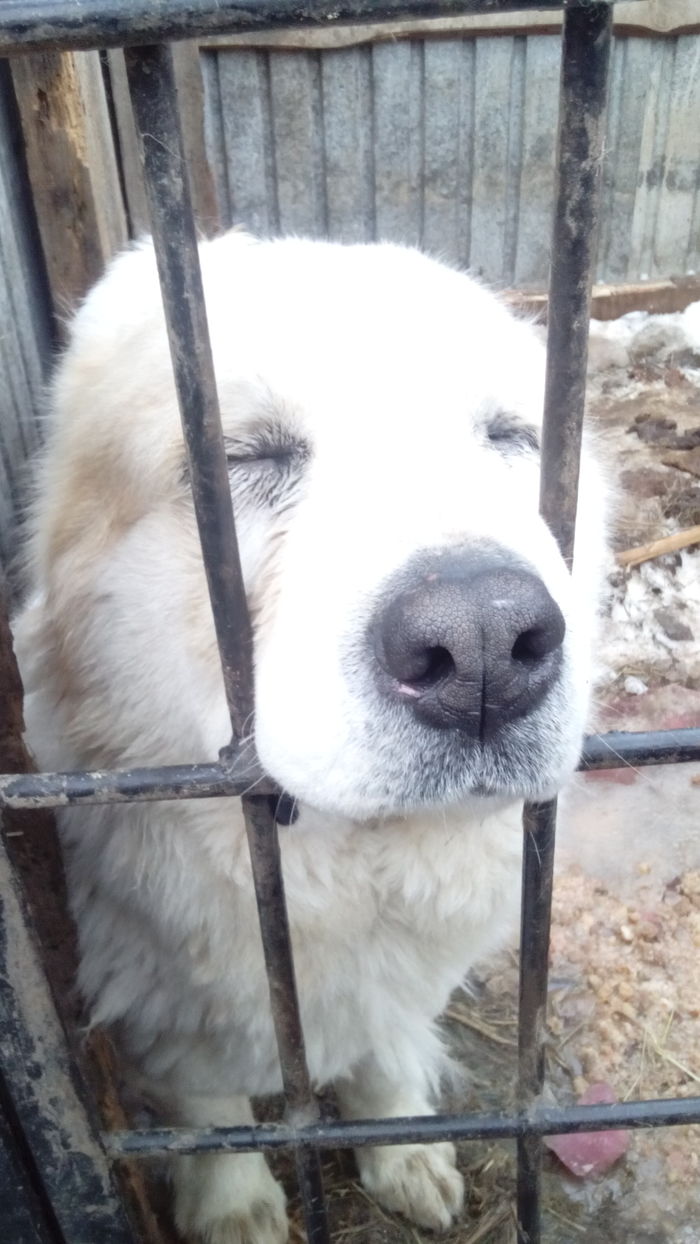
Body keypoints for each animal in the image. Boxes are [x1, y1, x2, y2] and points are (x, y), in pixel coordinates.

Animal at [16, 235, 609, 1244]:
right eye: (244, 455)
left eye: (511, 438)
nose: (484, 643)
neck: (348, 869)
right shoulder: (163, 994)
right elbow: (206, 1098)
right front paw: (232, 1203)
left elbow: (380, 1055)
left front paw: (401, 1147)